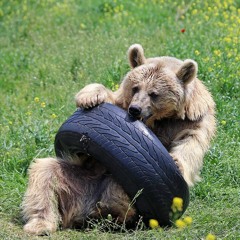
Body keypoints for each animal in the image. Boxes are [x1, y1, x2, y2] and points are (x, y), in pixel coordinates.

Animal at [22, 44, 216, 235]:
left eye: (154, 93)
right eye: (135, 87)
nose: (135, 109)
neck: (159, 120)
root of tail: (84, 212)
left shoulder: (192, 119)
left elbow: (191, 142)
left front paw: (176, 161)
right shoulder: (121, 104)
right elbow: (106, 97)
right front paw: (89, 97)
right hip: (78, 180)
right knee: (44, 173)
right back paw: (40, 224)